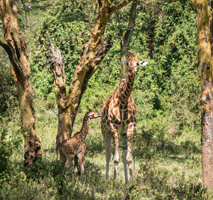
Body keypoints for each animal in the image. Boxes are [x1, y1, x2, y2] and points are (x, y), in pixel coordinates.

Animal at [100, 52, 147, 184]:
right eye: (127, 63)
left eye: (137, 63)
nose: (131, 70)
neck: (123, 101)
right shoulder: (114, 127)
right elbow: (115, 158)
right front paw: (114, 181)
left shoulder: (130, 127)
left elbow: (128, 158)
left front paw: (131, 181)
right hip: (105, 131)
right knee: (108, 154)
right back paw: (107, 177)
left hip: (123, 133)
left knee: (123, 153)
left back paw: (125, 180)